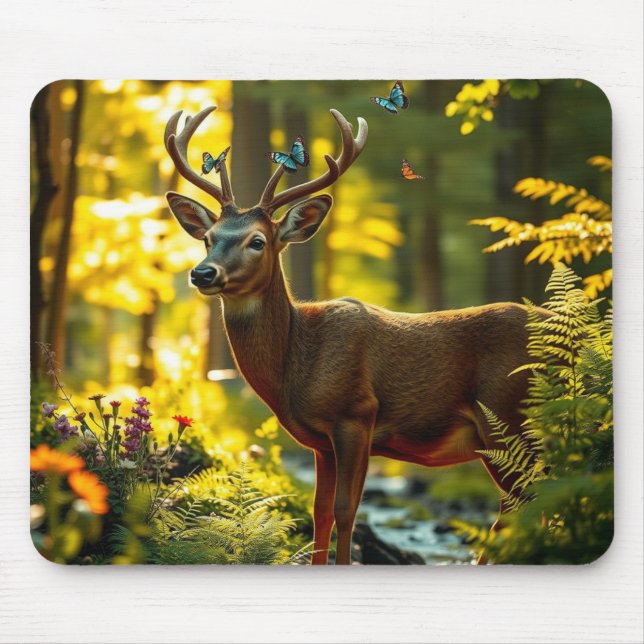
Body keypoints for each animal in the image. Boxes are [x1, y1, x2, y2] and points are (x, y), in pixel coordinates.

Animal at [164, 105, 539, 565]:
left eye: (257, 241)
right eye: (208, 238)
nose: (202, 273)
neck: (296, 365)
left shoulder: (357, 414)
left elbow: (347, 510)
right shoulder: (321, 443)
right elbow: (320, 512)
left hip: (508, 415)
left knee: (526, 501)